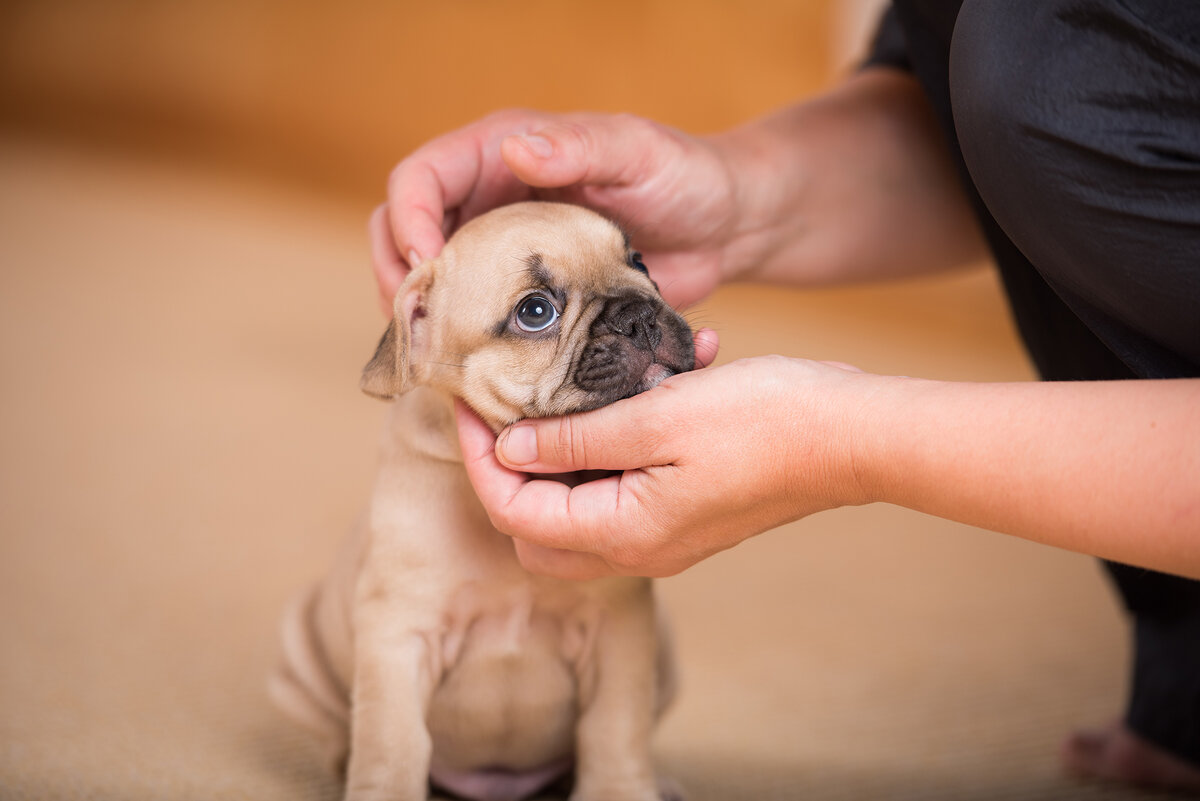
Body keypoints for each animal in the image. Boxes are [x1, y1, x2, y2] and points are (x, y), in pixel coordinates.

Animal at [266, 201, 691, 801]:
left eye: (641, 262)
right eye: (535, 312)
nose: (641, 313)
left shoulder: (620, 634)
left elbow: (614, 732)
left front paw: (621, 790)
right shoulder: (400, 639)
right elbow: (392, 746)